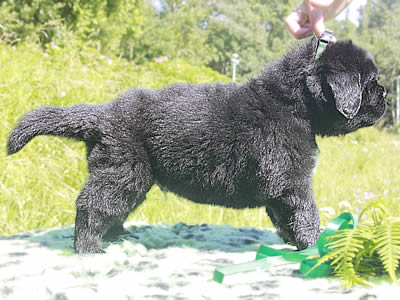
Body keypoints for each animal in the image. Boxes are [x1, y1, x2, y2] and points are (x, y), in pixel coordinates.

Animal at [7, 37, 388, 253]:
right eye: (370, 81)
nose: (385, 96)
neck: (290, 102)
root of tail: (101, 113)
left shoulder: (280, 185)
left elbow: (285, 218)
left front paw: (295, 245)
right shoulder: (292, 180)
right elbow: (305, 214)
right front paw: (315, 247)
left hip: (129, 177)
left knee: (110, 208)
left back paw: (118, 238)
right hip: (124, 171)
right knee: (91, 205)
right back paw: (89, 248)